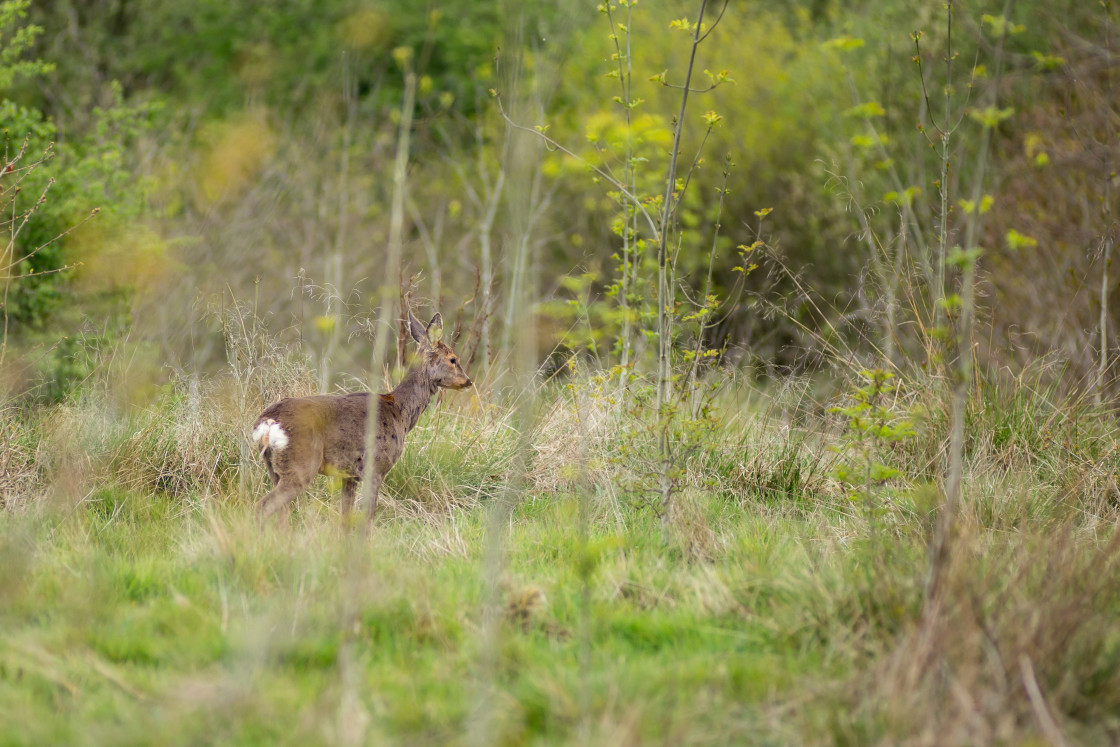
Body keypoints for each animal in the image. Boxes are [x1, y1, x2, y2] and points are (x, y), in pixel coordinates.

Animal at [252, 309, 470, 526]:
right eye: (453, 359)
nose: (468, 381)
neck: (400, 412)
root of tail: (267, 423)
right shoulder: (376, 467)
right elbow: (367, 518)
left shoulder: (349, 476)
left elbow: (346, 517)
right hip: (301, 462)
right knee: (263, 506)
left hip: (275, 468)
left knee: (281, 513)